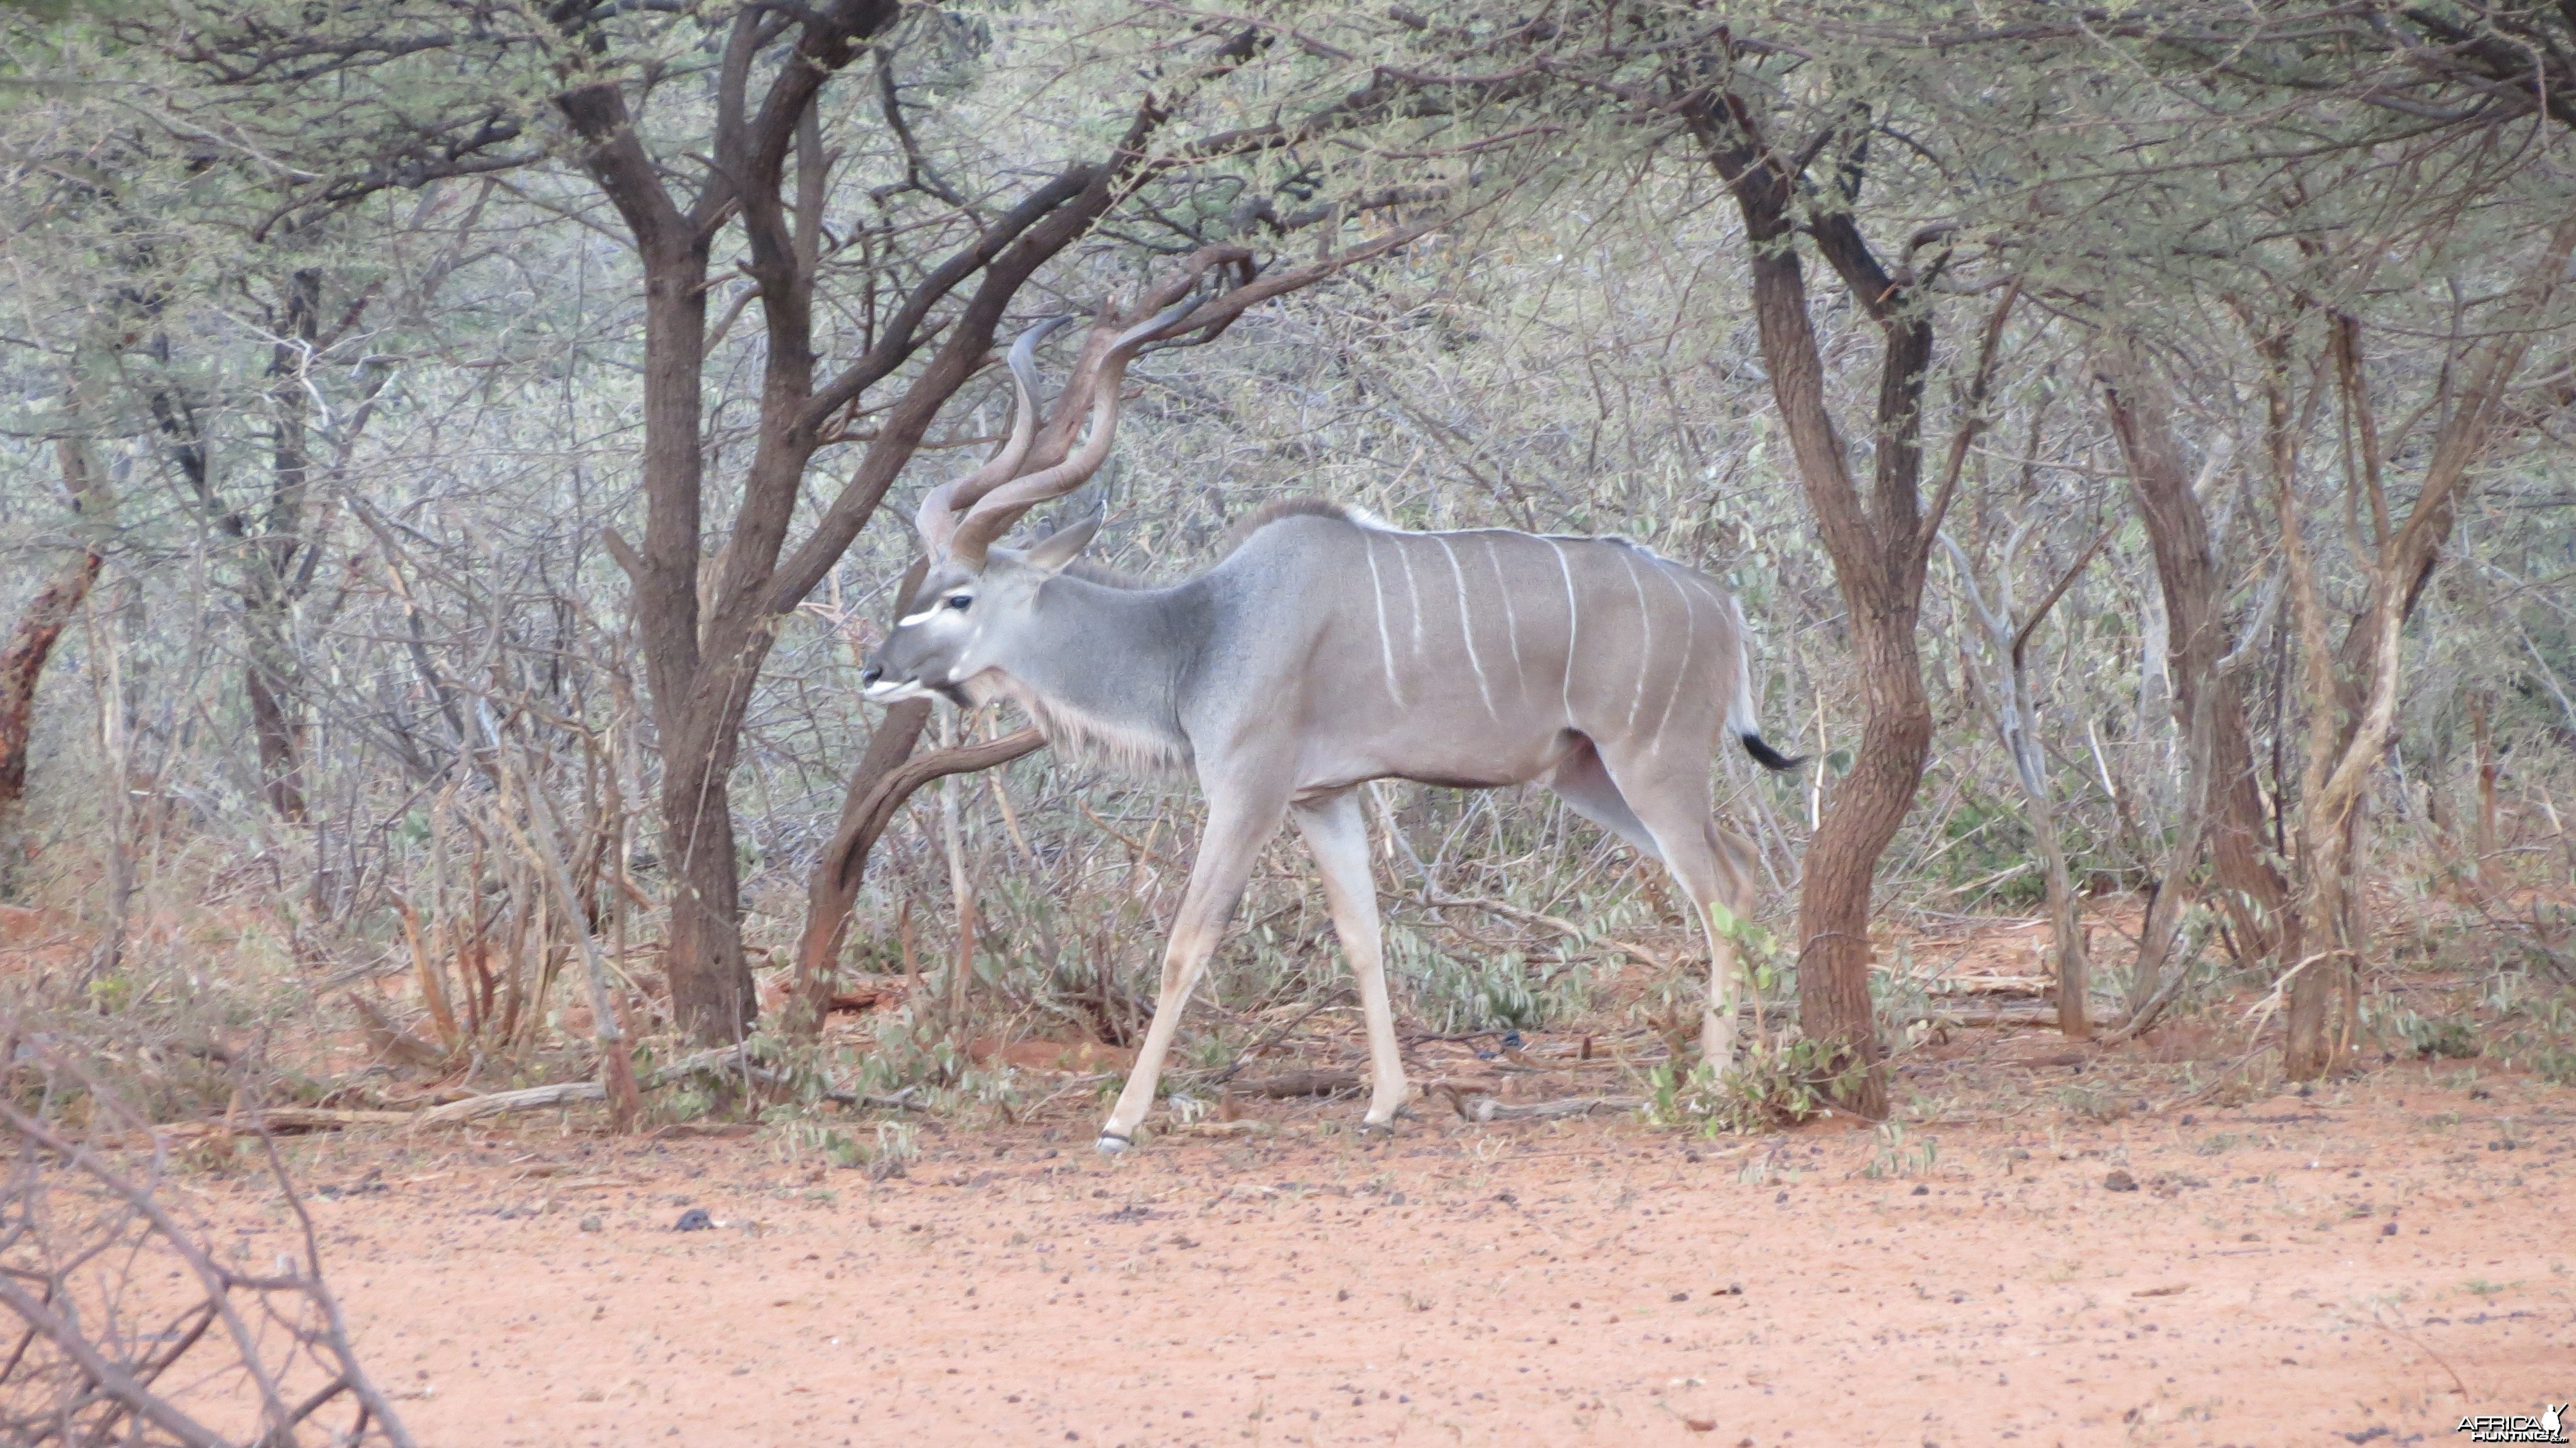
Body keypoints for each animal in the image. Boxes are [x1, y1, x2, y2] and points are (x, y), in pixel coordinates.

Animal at [866, 296, 1793, 1149]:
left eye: (959, 597)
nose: (875, 673)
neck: (1203, 631)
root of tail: (1724, 606)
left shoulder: (1248, 791)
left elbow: (1186, 943)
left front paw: (1122, 1121)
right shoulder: (1324, 798)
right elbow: (1362, 936)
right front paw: (1384, 1104)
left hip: (1650, 761)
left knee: (1717, 892)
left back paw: (1714, 1085)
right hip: (1590, 773)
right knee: (1743, 866)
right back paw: (1750, 1058)